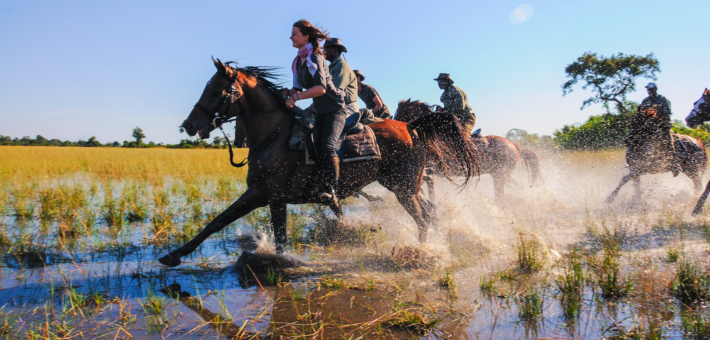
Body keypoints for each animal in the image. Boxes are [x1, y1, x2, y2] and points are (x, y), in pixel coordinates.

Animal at [159, 59, 482, 268]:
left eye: (215, 90)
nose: (189, 125)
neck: (274, 134)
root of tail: (411, 126)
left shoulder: (258, 193)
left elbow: (217, 221)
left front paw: (174, 255)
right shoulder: (276, 199)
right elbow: (279, 237)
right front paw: (281, 262)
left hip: (404, 188)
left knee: (424, 218)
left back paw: (417, 254)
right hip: (405, 187)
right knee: (430, 212)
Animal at [394, 99, 540, 202]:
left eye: (399, 113)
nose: (395, 127)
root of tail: (513, 145)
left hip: (500, 176)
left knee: (501, 196)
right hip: (500, 175)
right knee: (516, 187)